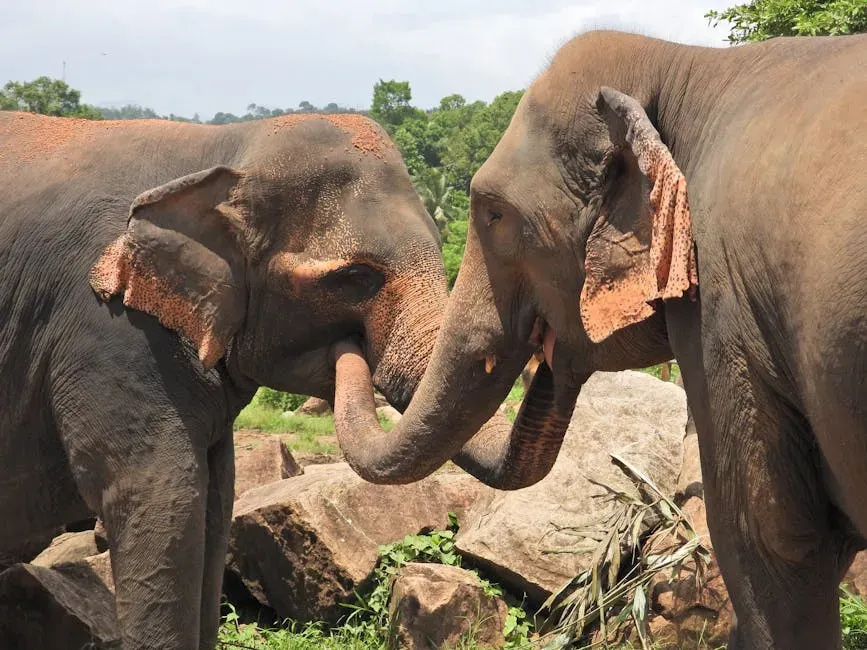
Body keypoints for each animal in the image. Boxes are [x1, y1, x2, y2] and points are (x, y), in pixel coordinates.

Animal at [0, 111, 446, 649]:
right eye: (356, 278)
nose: (350, 352)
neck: (228, 147)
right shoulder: (109, 329)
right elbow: (163, 498)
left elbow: (218, 495)